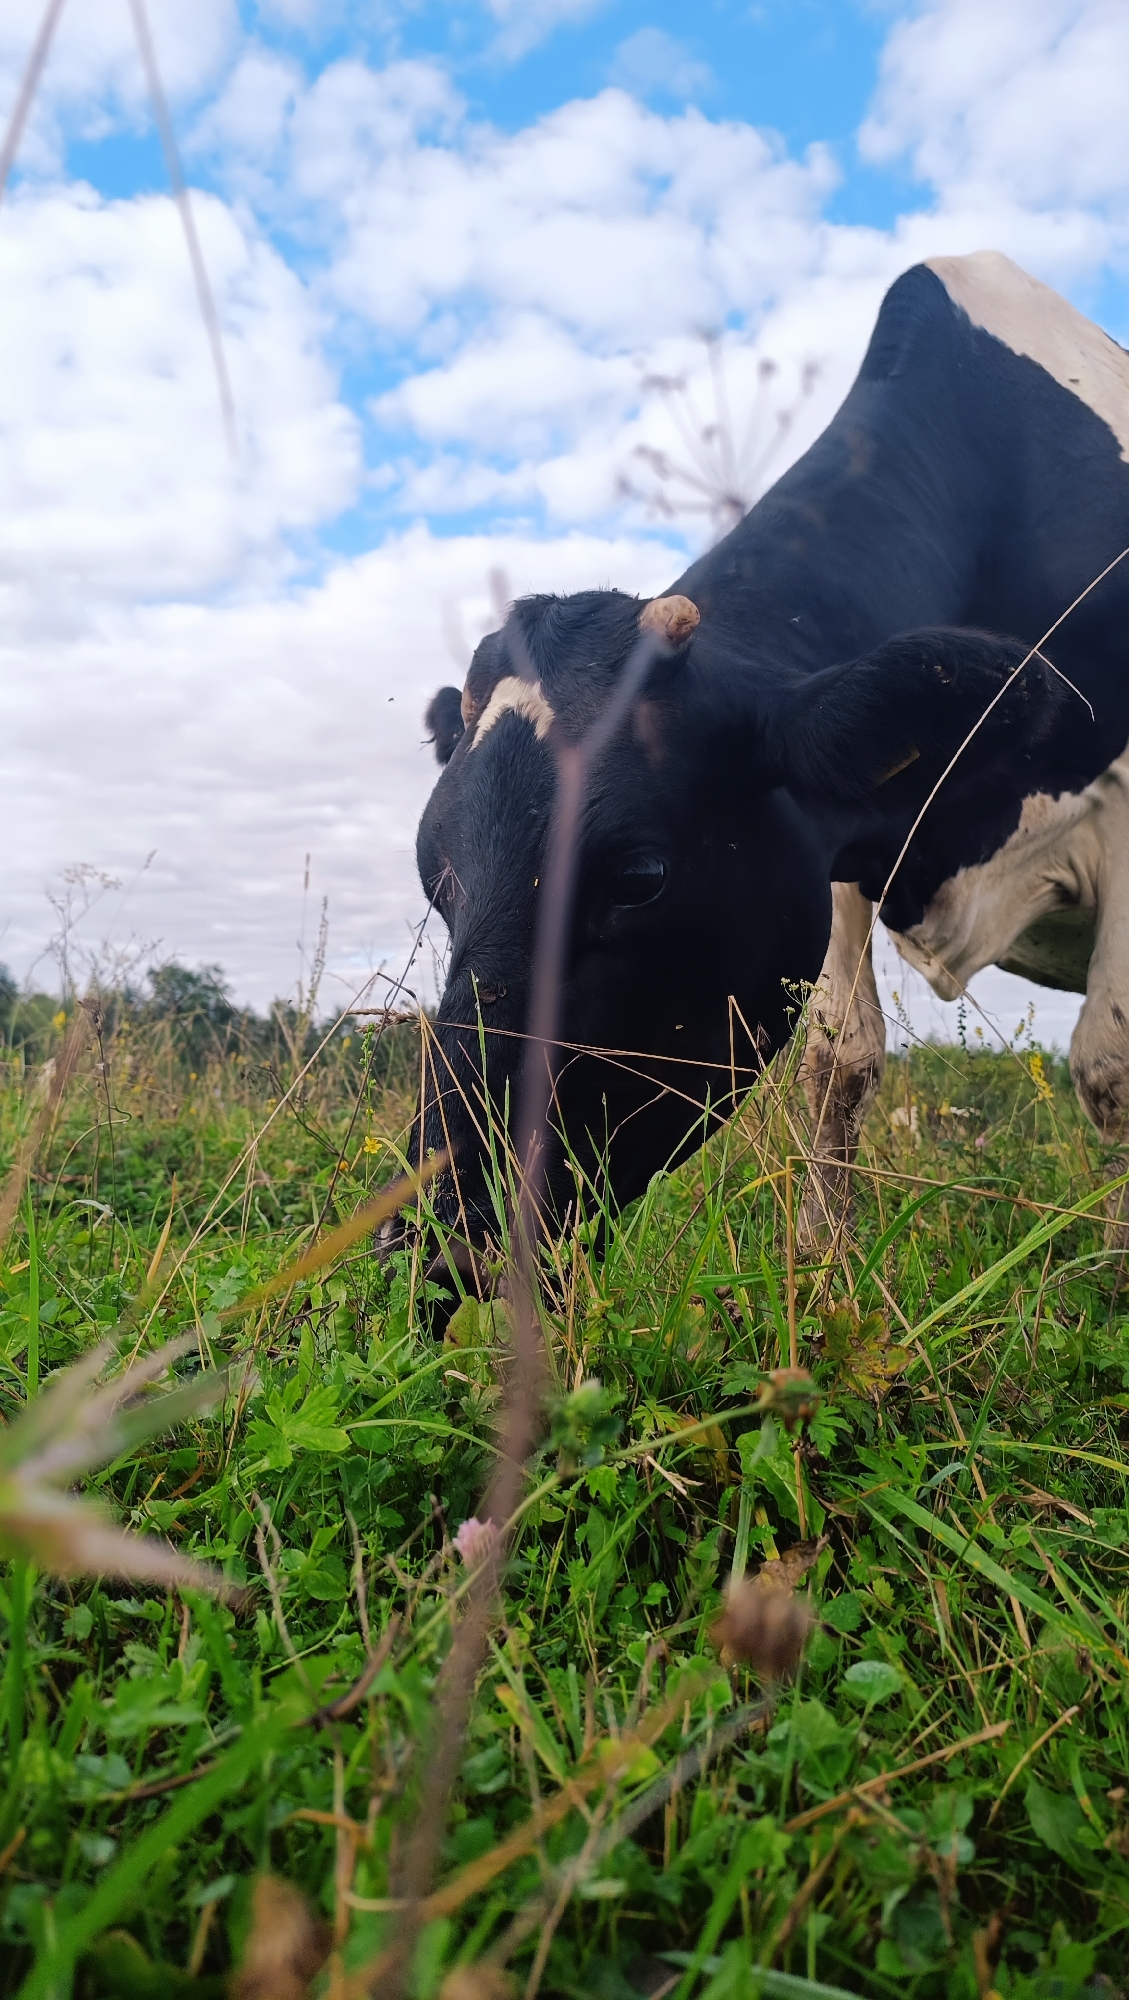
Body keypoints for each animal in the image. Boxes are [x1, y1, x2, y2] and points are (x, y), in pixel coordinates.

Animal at [411, 251, 1129, 1269]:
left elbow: (1107, 1068)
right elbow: (838, 1058)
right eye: (434, 876)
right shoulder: (829, 839)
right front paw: (824, 1263)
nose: (446, 1238)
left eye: (639, 876)